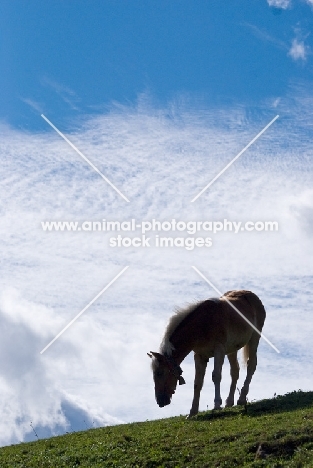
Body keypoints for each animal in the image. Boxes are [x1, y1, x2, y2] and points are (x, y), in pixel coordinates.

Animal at [147, 288, 264, 416]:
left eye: (159, 373)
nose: (160, 401)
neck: (203, 323)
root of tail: (251, 294)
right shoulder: (200, 356)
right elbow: (197, 382)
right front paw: (192, 411)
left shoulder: (219, 350)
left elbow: (216, 376)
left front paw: (217, 405)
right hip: (231, 350)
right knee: (235, 371)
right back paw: (229, 402)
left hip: (254, 339)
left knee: (251, 365)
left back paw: (242, 398)